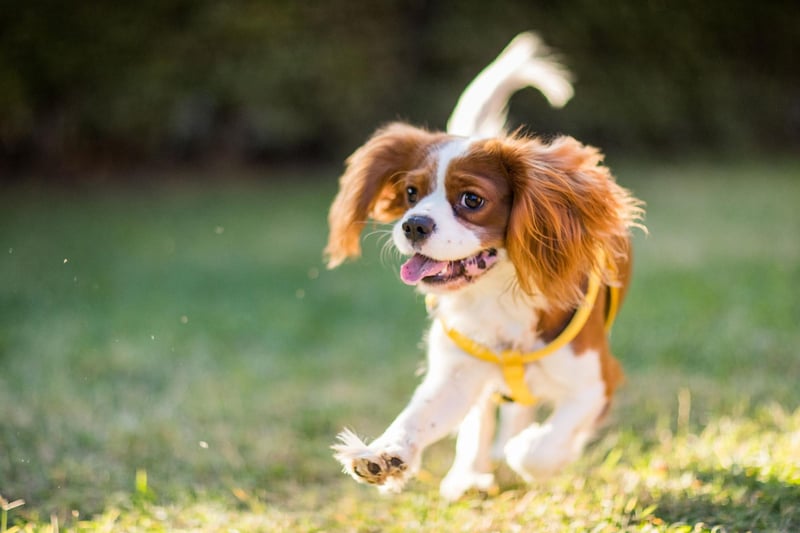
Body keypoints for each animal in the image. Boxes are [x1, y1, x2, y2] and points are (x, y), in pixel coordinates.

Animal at [324, 33, 644, 498]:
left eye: (472, 200)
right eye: (410, 192)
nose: (413, 224)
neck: (497, 293)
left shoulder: (596, 381)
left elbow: (541, 449)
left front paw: (527, 450)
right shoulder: (458, 372)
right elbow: (420, 416)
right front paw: (385, 454)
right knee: (481, 418)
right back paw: (468, 475)